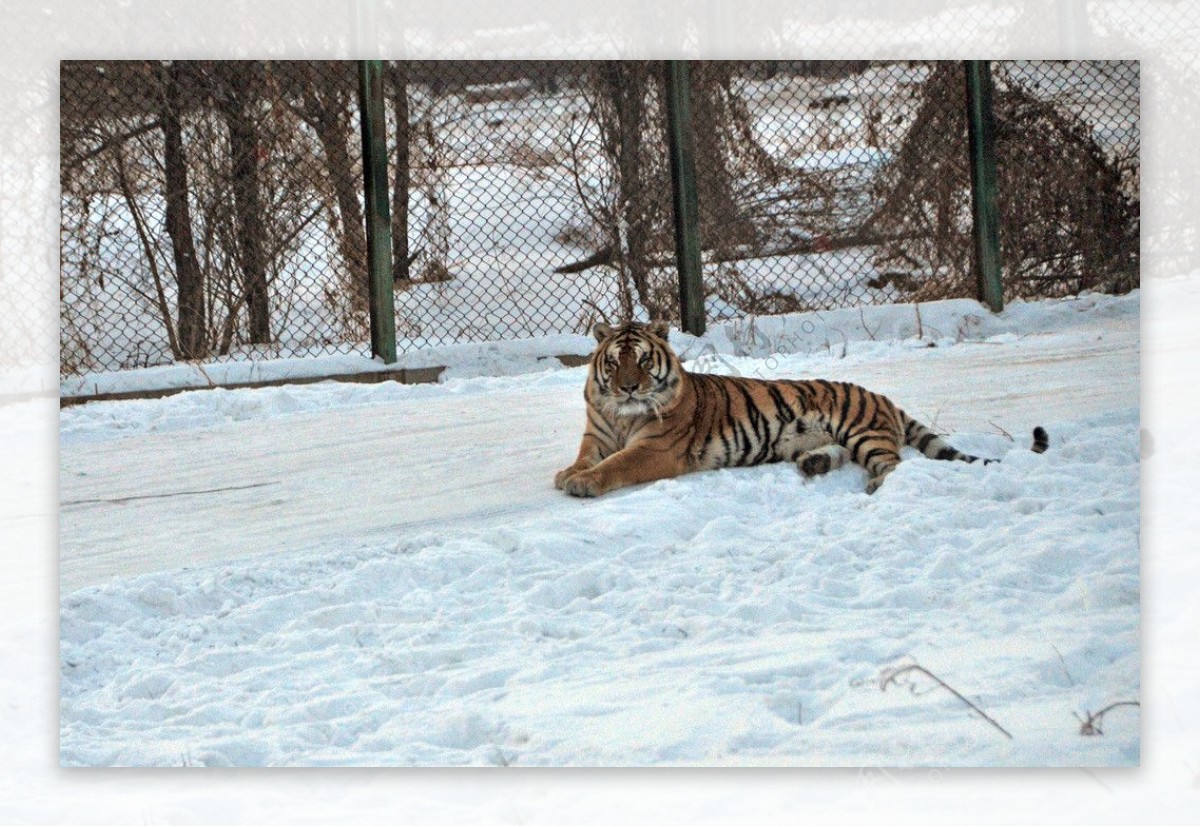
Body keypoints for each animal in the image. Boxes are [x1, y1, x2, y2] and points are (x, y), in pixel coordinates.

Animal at [554, 316, 1051, 496]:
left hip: (864, 432)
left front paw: (582, 483)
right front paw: (568, 473)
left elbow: (616, 464)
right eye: (615, 361)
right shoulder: (596, 434)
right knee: (839, 455)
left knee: (893, 464)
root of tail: (882, 396)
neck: (621, 416)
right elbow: (586, 457)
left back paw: (874, 487)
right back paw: (814, 465)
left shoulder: (655, 448)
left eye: (642, 360)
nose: (628, 388)